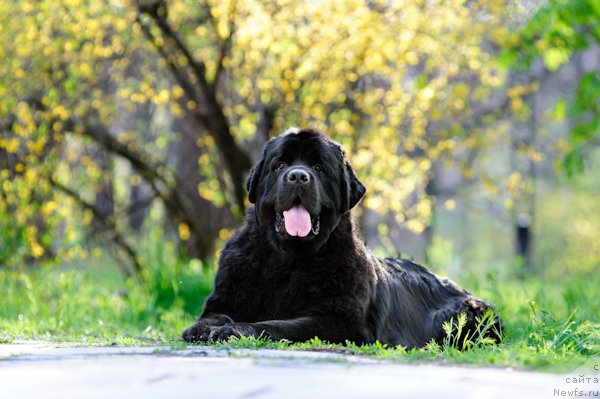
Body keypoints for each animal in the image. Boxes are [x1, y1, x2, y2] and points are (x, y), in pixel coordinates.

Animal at [183, 126, 502, 348]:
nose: (298, 176)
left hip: (473, 315)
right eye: (280, 165)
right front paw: (204, 329)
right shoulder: (224, 298)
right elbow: (211, 316)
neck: (288, 261)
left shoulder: (340, 322)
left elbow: (279, 325)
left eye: (319, 168)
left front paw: (235, 330)